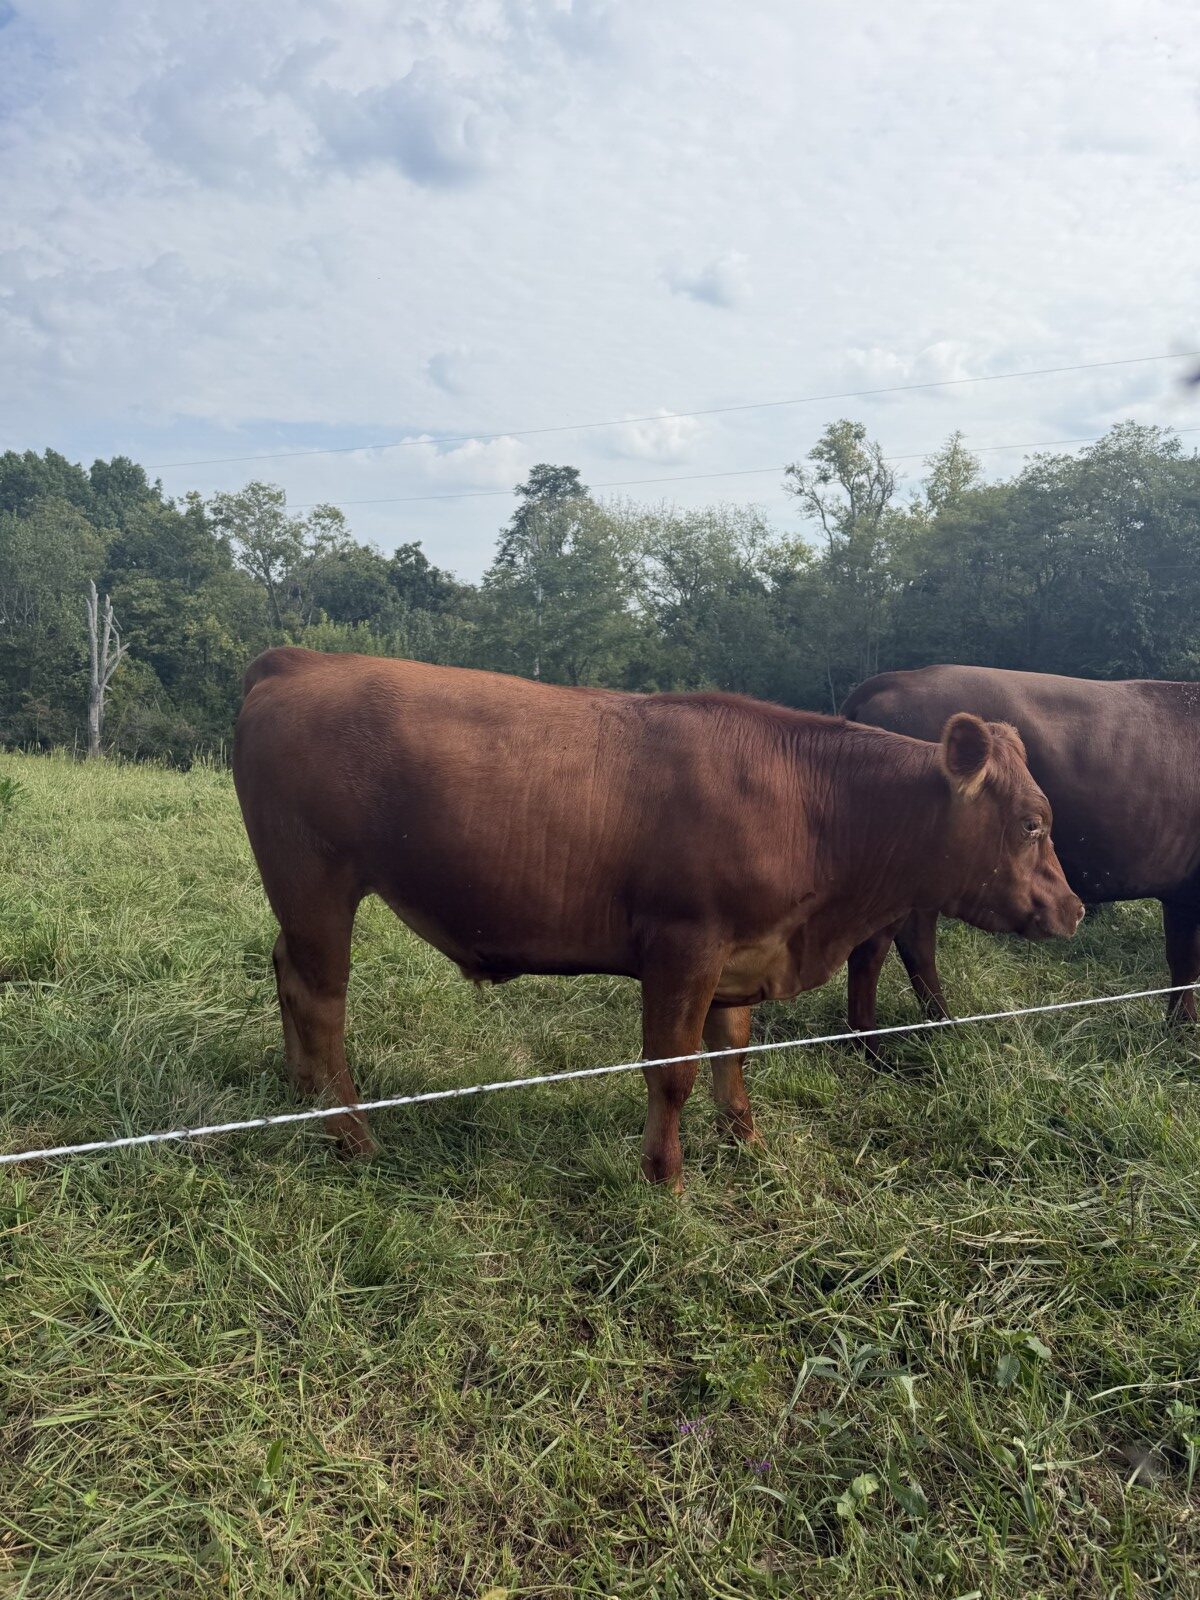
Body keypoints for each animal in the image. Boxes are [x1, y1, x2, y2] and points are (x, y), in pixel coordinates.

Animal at [233, 648, 1082, 1187]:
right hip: (316, 883)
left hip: (300, 897)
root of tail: (301, 659)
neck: (814, 805)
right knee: (322, 1002)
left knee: (286, 974)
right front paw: (665, 1177)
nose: (1072, 909)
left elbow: (732, 1055)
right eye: (1032, 823)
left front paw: (748, 1141)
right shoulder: (684, 946)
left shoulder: (741, 955)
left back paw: (300, 1096)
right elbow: (672, 1070)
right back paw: (352, 1137)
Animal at [843, 664, 1200, 1039]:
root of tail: (899, 677)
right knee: (899, 945)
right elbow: (1188, 961)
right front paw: (1184, 1027)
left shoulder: (1181, 891)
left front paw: (1180, 1023)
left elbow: (1182, 960)